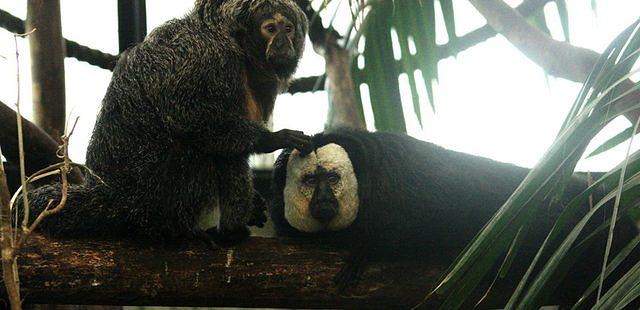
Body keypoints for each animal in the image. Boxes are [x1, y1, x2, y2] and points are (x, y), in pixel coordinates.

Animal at [16, 0, 310, 242]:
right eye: (270, 29)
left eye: (288, 28)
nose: (283, 42)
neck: (236, 46)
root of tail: (112, 196)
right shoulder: (207, 56)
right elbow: (188, 116)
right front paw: (269, 139)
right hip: (158, 197)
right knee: (215, 151)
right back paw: (228, 232)